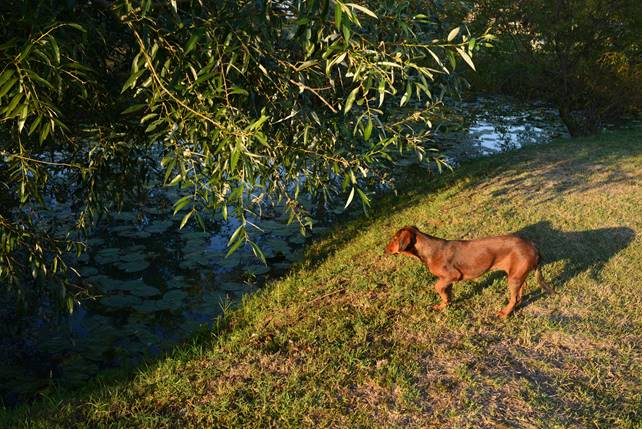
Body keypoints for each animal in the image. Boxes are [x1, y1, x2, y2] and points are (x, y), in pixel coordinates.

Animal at [382, 226, 552, 316]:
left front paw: (444, 302)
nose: (384, 250)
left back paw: (504, 313)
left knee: (514, 298)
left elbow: (437, 286)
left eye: (394, 239)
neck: (428, 249)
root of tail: (534, 246)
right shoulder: (448, 280)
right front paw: (444, 305)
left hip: (514, 278)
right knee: (519, 293)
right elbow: (446, 293)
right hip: (516, 274)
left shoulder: (451, 276)